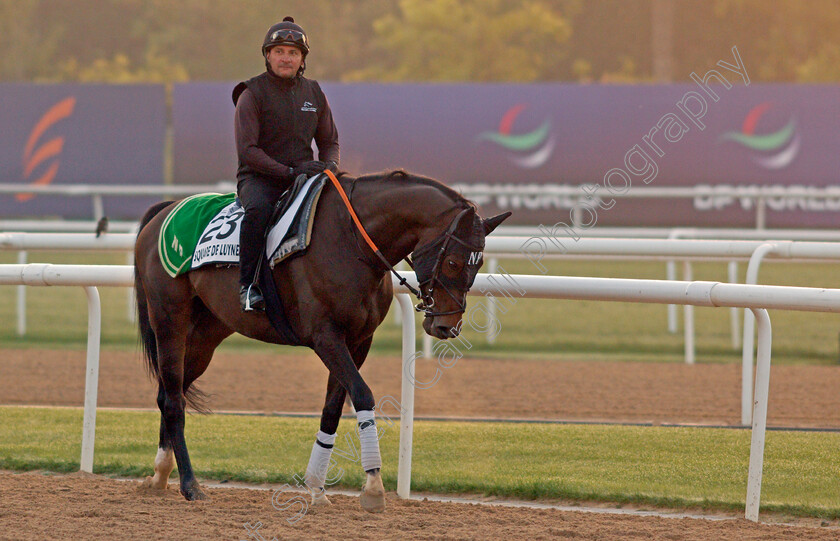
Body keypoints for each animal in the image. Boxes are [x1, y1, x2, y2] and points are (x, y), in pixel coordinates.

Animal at [135, 169, 508, 510]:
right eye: (454, 261)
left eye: (478, 264)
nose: (447, 326)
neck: (352, 243)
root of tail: (166, 210)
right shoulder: (325, 337)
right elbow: (363, 394)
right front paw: (373, 486)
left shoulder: (358, 341)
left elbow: (332, 408)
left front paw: (316, 488)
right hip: (169, 319)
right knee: (173, 400)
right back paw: (190, 485)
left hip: (205, 334)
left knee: (169, 393)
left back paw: (160, 475)